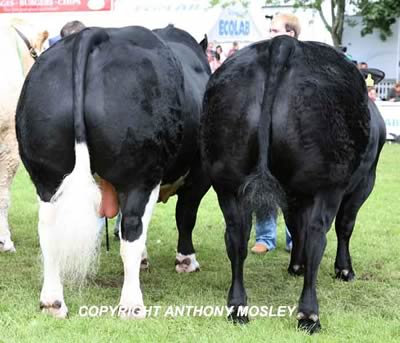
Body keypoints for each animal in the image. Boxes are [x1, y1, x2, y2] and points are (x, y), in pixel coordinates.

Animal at [16, 26, 209, 320]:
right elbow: (185, 217)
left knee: (48, 231)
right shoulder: (199, 177)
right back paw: (131, 305)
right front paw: (186, 260)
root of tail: (94, 34)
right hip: (139, 177)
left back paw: (52, 302)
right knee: (132, 228)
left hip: (46, 177)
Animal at [202, 36, 386, 334]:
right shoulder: (364, 181)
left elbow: (294, 224)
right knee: (317, 236)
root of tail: (283, 43)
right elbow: (345, 226)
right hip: (328, 185)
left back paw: (238, 308)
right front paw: (344, 270)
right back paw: (309, 315)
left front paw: (295, 266)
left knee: (236, 237)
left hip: (227, 181)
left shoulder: (292, 193)